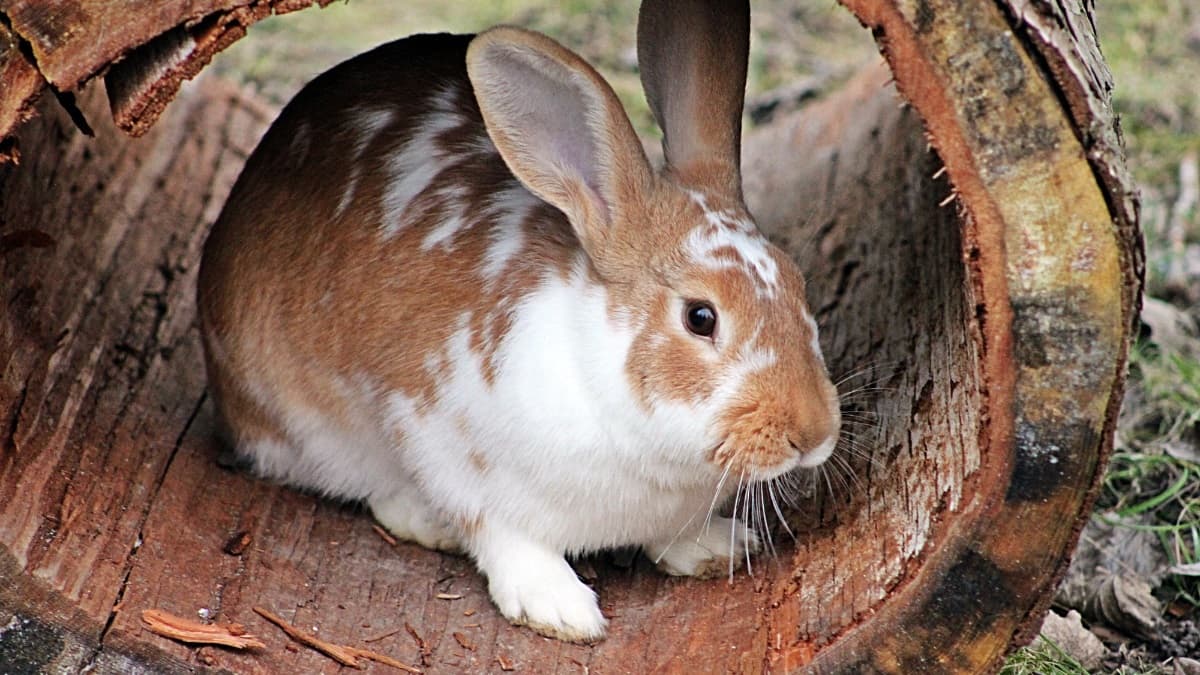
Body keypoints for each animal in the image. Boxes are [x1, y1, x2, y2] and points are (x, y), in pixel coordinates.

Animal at [196, 0, 840, 642]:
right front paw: (561, 610)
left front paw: (715, 548)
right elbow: (503, 536)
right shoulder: (448, 449)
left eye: (798, 282)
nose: (812, 434)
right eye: (700, 317)